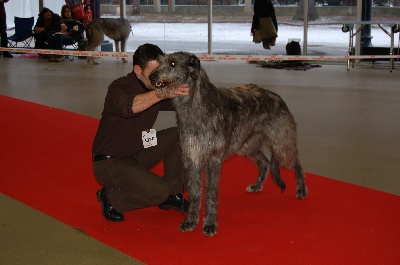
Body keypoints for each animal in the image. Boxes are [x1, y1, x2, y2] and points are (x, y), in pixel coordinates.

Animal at [148, 51, 308, 235]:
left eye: (173, 63)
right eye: (160, 62)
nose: (152, 76)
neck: (196, 107)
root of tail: (277, 96)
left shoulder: (213, 160)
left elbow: (211, 193)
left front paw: (210, 224)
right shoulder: (193, 157)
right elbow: (195, 193)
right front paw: (191, 221)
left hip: (281, 142)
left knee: (296, 162)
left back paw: (301, 190)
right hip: (246, 144)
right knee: (264, 162)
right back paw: (257, 186)